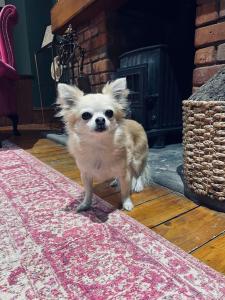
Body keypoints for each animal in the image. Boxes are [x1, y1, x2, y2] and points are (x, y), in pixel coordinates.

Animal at [57, 78, 150, 212]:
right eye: (86, 115)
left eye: (109, 113)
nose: (100, 119)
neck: (99, 145)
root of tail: (136, 122)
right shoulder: (86, 174)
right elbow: (88, 192)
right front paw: (85, 204)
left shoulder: (124, 172)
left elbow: (125, 191)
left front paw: (127, 203)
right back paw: (116, 181)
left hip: (138, 159)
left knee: (139, 173)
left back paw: (138, 185)